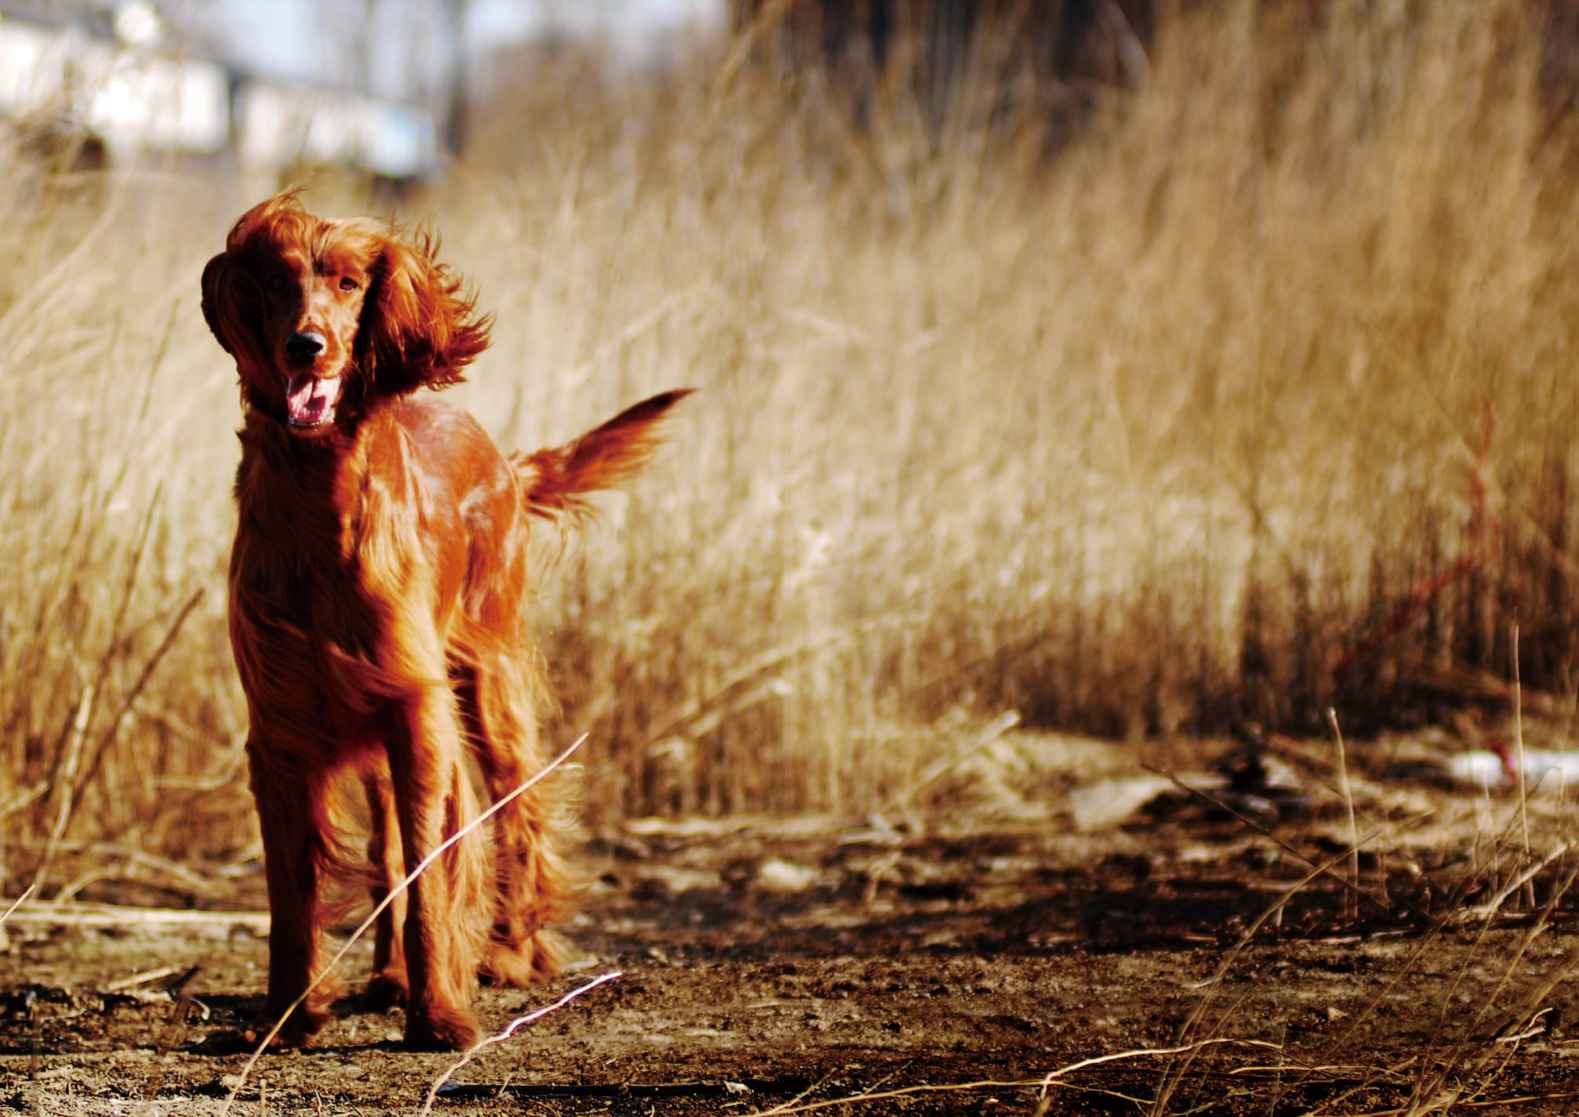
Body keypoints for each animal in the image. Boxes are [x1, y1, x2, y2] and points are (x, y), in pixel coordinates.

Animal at [202, 190, 685, 1049]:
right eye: (276, 280)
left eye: (349, 281)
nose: (306, 346)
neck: (316, 509)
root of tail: (503, 458)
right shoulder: (284, 726)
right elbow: (294, 892)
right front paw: (288, 1014)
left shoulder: (417, 710)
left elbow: (434, 871)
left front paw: (439, 1015)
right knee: (390, 845)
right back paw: (391, 972)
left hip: (485, 683)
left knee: (518, 808)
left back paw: (511, 952)